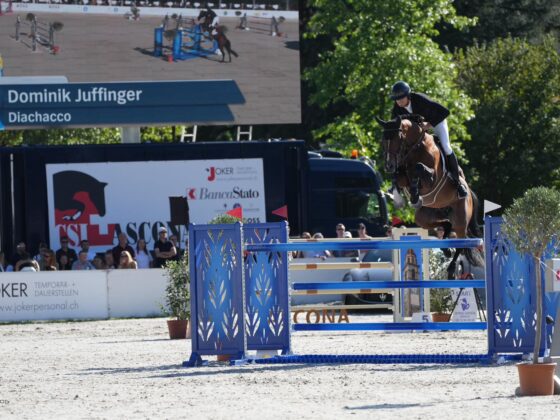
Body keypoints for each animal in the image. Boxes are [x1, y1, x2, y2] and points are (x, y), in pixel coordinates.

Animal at [376, 115, 482, 278]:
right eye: (383, 140)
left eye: (397, 138)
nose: (389, 166)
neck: (415, 148)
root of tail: (470, 193)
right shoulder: (403, 174)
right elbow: (400, 177)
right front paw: (407, 196)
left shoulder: (432, 179)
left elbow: (419, 168)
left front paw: (414, 194)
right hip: (424, 217)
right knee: (446, 224)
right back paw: (446, 250)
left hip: (461, 218)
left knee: (461, 242)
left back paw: (451, 268)